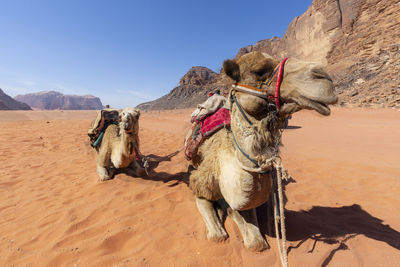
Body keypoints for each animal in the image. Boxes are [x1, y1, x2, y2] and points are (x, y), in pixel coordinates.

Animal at [188, 51, 338, 252]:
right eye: (259, 71)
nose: (324, 77)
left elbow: (256, 242)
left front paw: (230, 211)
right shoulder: (200, 179)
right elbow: (217, 234)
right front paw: (220, 217)